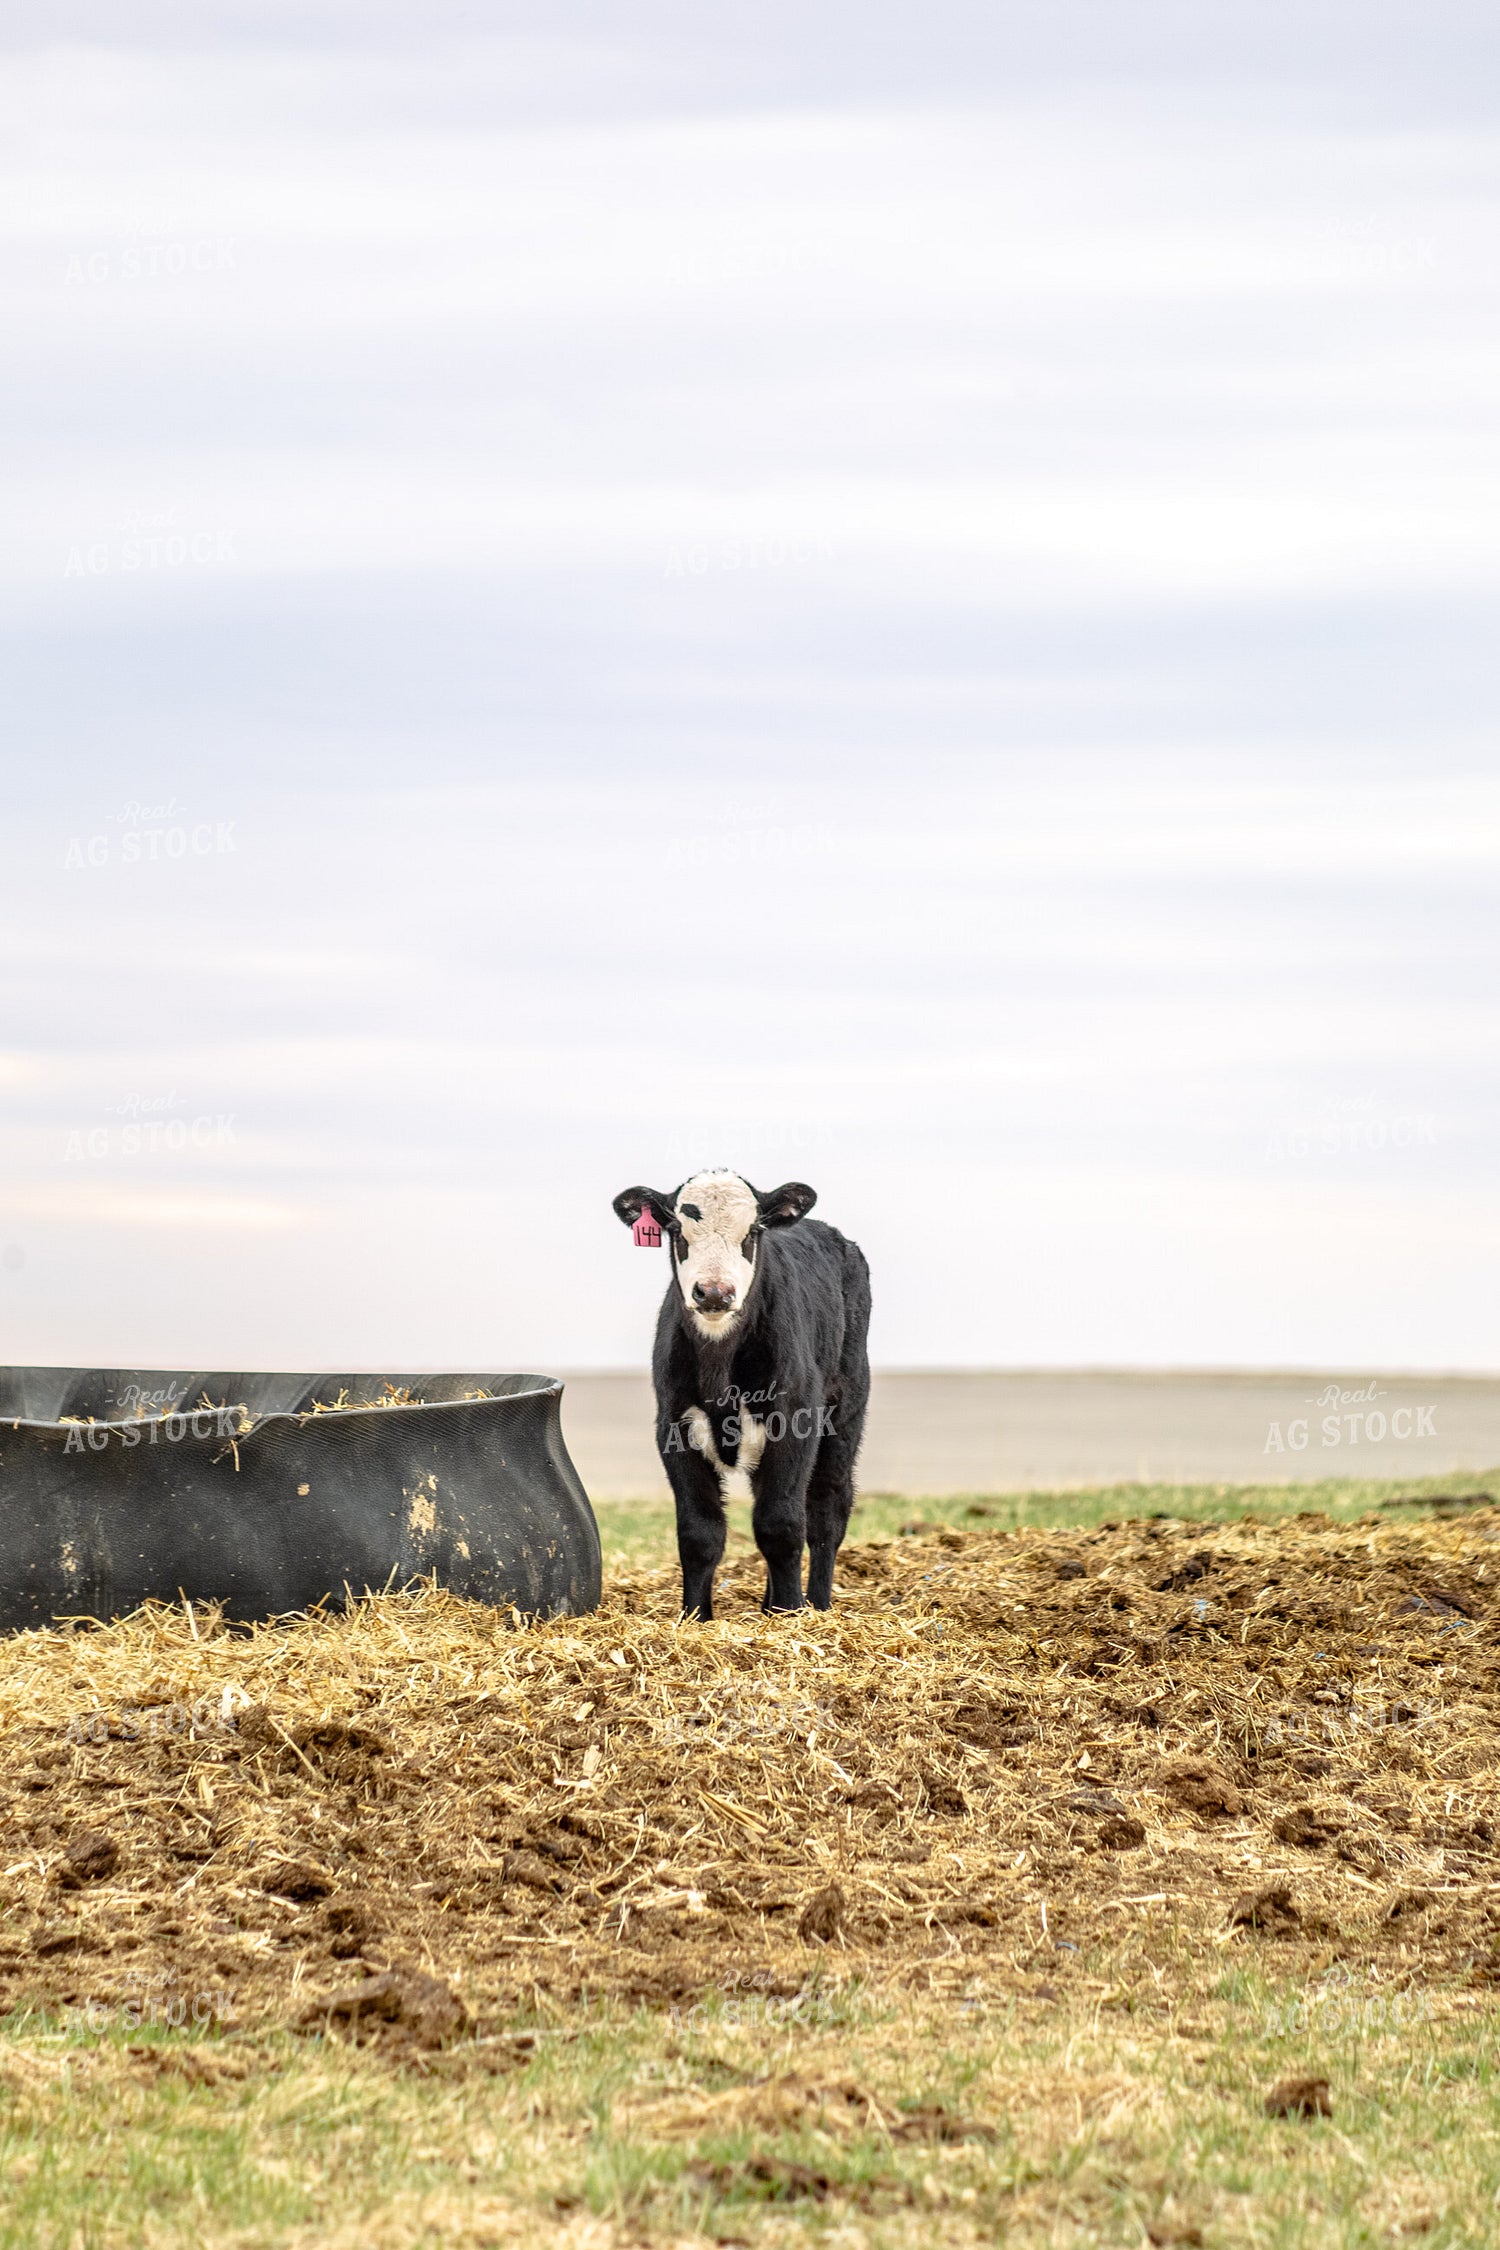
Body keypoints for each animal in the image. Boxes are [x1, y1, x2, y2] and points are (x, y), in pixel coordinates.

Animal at [611, 1170, 871, 1620]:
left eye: (751, 1231)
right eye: (677, 1229)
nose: (715, 1292)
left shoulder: (795, 1421)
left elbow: (781, 1525)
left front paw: (790, 1613)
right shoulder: (674, 1429)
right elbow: (700, 1533)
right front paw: (696, 1616)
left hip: (846, 1410)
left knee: (826, 1511)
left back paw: (817, 1606)